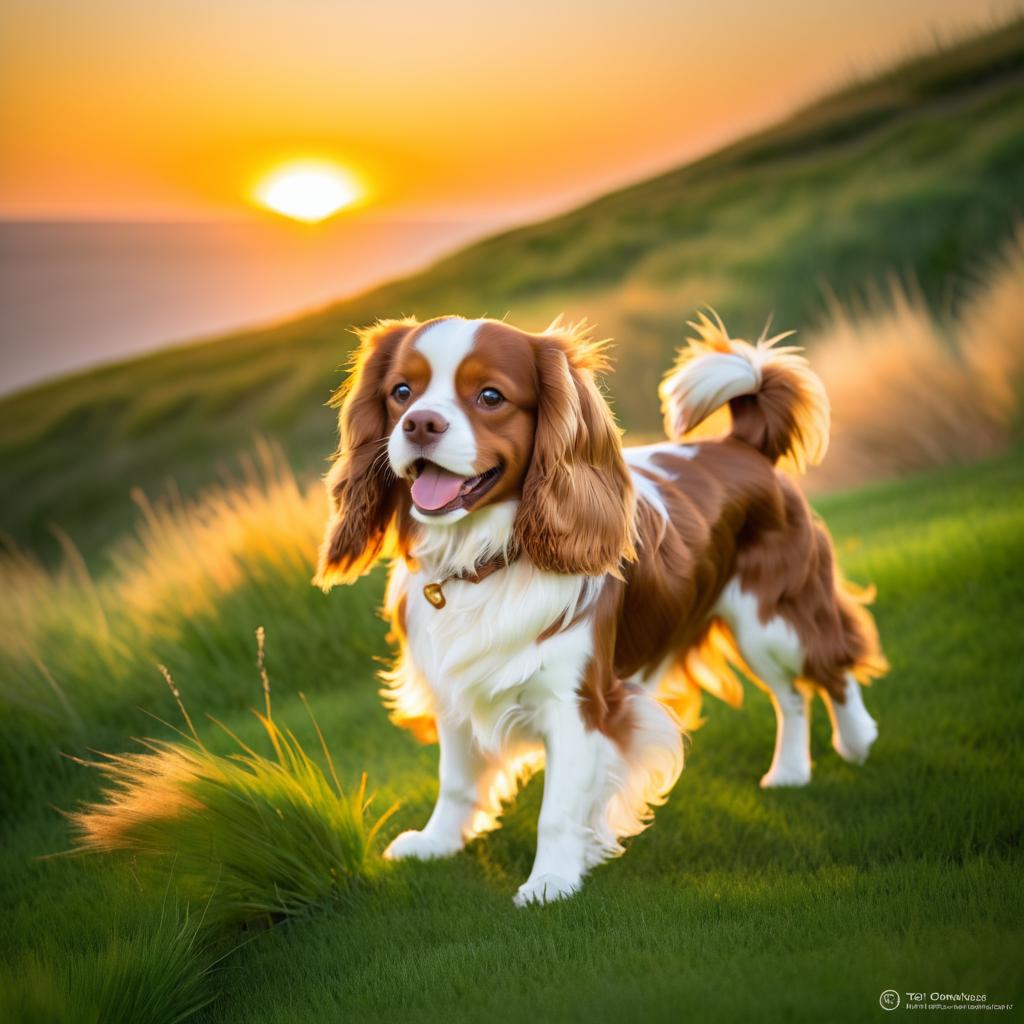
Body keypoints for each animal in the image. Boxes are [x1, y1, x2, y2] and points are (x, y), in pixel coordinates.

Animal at [315, 309, 884, 905]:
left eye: (490, 396)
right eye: (401, 392)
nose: (420, 424)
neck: (486, 560)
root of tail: (741, 445)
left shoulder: (578, 703)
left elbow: (559, 807)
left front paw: (551, 880)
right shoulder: (454, 690)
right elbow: (455, 781)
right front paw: (437, 843)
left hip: (772, 619)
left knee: (830, 664)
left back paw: (856, 738)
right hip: (757, 634)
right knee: (790, 695)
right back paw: (791, 771)